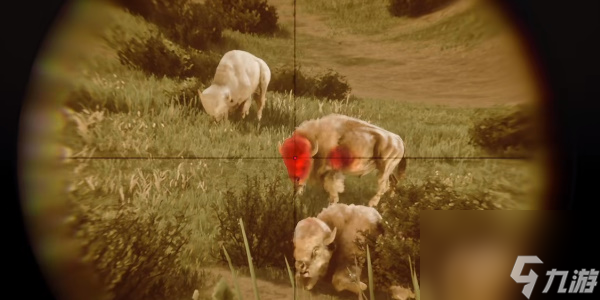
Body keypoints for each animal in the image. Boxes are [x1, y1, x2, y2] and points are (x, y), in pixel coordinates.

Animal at [278, 113, 406, 207]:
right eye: (287, 163)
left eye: (304, 161)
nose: (296, 179)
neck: (317, 138)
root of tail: (399, 140)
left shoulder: (331, 172)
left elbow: (333, 188)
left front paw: (331, 203)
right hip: (387, 170)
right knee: (393, 182)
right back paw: (389, 200)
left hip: (385, 168)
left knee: (383, 186)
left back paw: (371, 204)